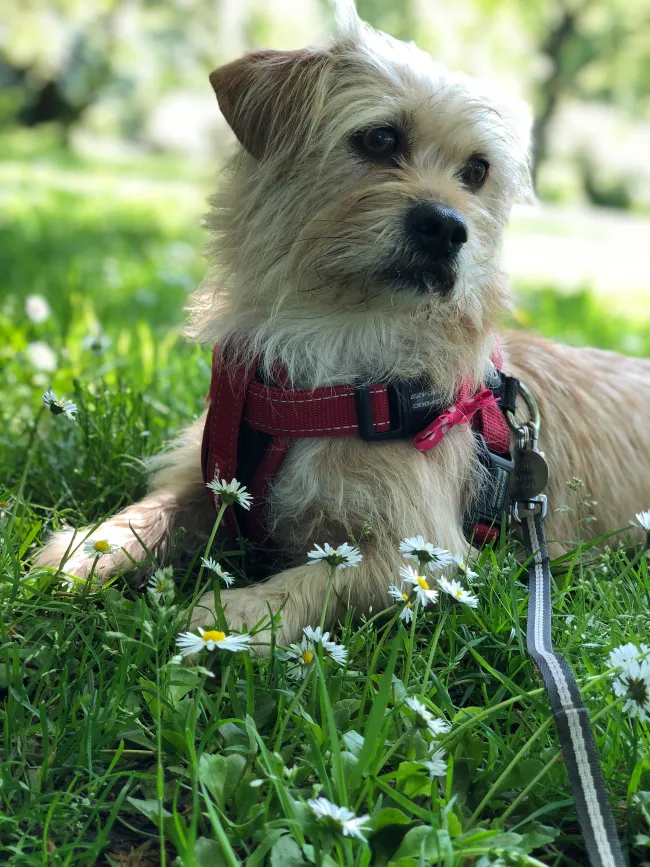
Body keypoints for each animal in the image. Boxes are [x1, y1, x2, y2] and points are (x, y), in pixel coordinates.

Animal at [34, 3, 650, 646]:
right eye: (380, 138)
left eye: (477, 171)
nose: (447, 226)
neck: (337, 342)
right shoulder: (207, 482)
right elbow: (149, 514)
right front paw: (81, 555)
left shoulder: (420, 555)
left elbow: (305, 584)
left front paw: (222, 620)